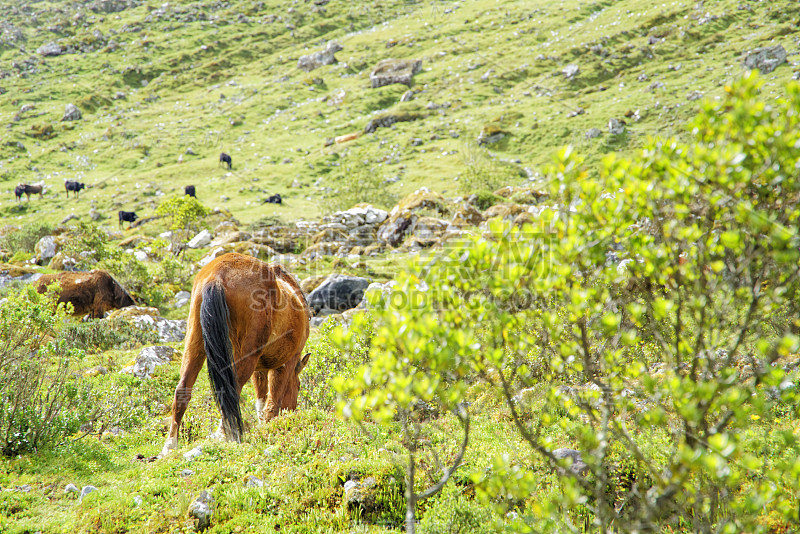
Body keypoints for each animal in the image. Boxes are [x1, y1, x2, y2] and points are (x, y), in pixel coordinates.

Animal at [159, 253, 310, 458]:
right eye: (299, 387)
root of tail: (217, 276)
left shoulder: (260, 368)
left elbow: (261, 399)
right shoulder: (286, 363)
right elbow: (272, 401)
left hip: (195, 341)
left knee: (183, 388)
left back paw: (170, 446)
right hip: (245, 356)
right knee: (231, 391)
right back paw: (223, 434)